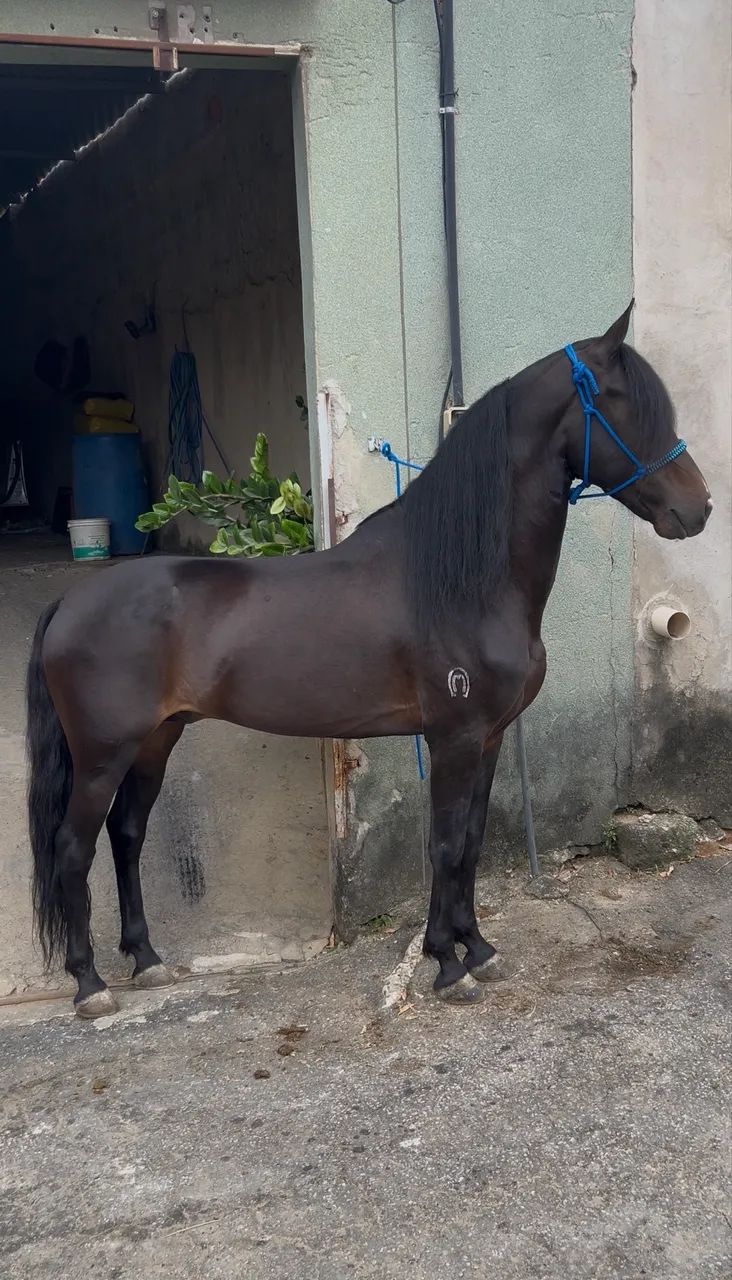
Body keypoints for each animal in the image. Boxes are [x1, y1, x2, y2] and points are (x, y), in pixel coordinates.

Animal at [26, 303, 712, 1018]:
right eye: (620, 401)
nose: (698, 509)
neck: (463, 580)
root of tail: (70, 601)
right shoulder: (454, 737)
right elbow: (445, 844)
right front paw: (447, 964)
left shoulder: (489, 738)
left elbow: (470, 843)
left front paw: (478, 949)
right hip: (102, 754)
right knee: (73, 849)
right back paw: (90, 984)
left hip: (155, 740)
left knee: (126, 835)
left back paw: (147, 960)